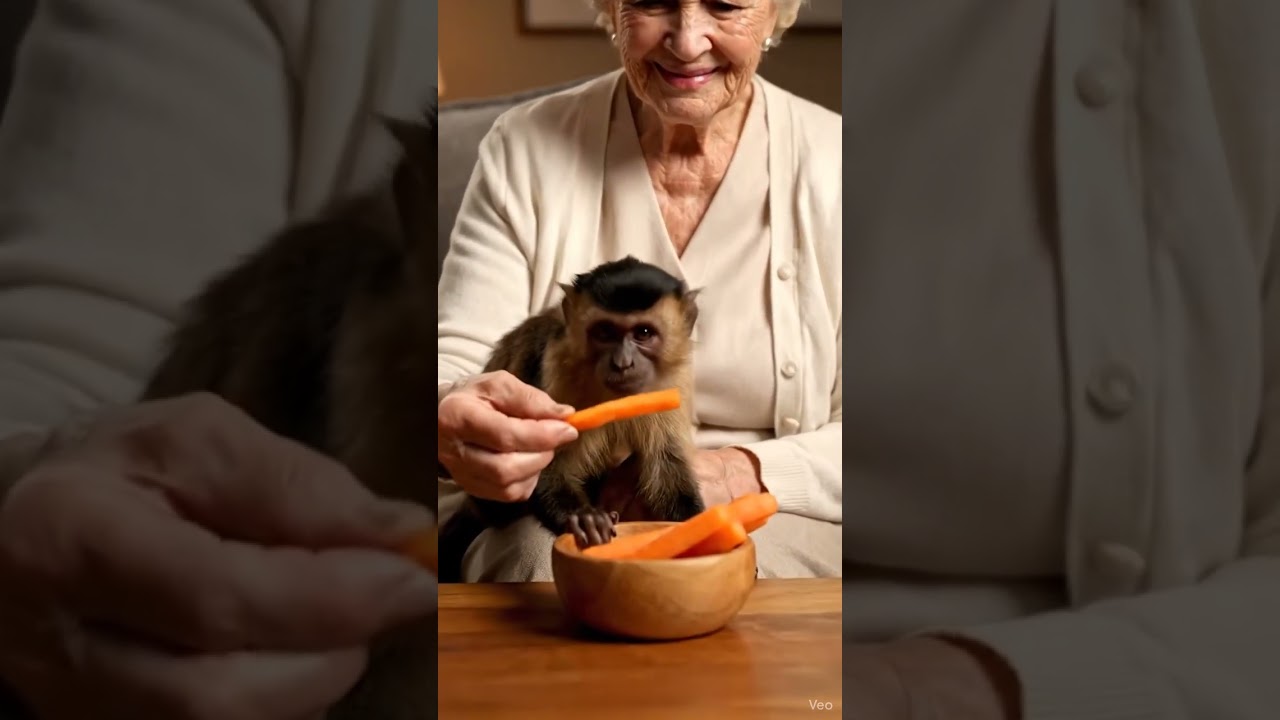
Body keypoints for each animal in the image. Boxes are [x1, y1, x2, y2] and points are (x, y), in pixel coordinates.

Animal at [436, 256, 707, 583]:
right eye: (604, 332)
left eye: (643, 333)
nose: (623, 363)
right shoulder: (556, 366)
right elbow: (546, 462)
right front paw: (583, 518)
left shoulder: (672, 383)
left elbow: (667, 468)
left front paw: (701, 528)